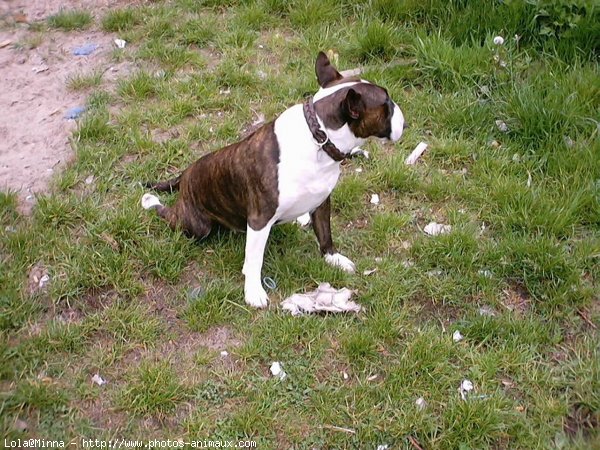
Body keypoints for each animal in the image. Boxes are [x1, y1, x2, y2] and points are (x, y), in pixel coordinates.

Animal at [142, 51, 404, 308]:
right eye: (386, 104)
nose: (405, 119)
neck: (318, 137)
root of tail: (185, 175)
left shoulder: (322, 202)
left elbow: (325, 234)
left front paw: (334, 259)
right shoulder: (259, 220)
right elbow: (254, 260)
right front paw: (253, 292)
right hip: (197, 225)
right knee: (167, 214)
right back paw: (151, 201)